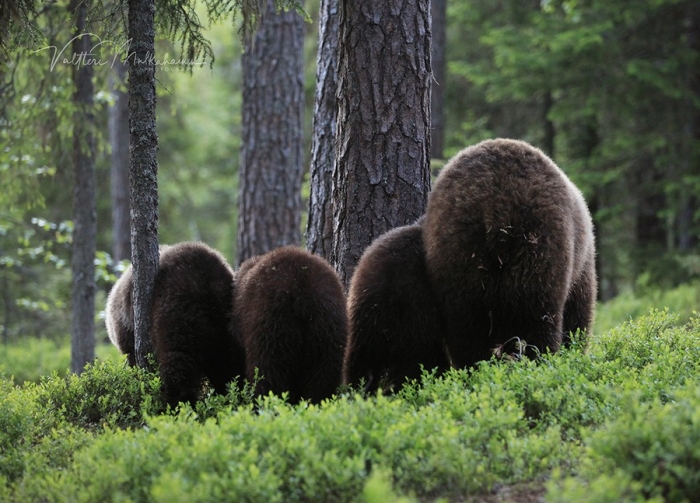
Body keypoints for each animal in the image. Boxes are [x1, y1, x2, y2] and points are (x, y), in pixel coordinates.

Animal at [422, 138, 596, 366]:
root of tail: (497, 210)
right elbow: (578, 313)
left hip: (456, 251)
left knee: (466, 326)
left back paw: (476, 365)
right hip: (538, 242)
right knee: (537, 315)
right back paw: (538, 358)